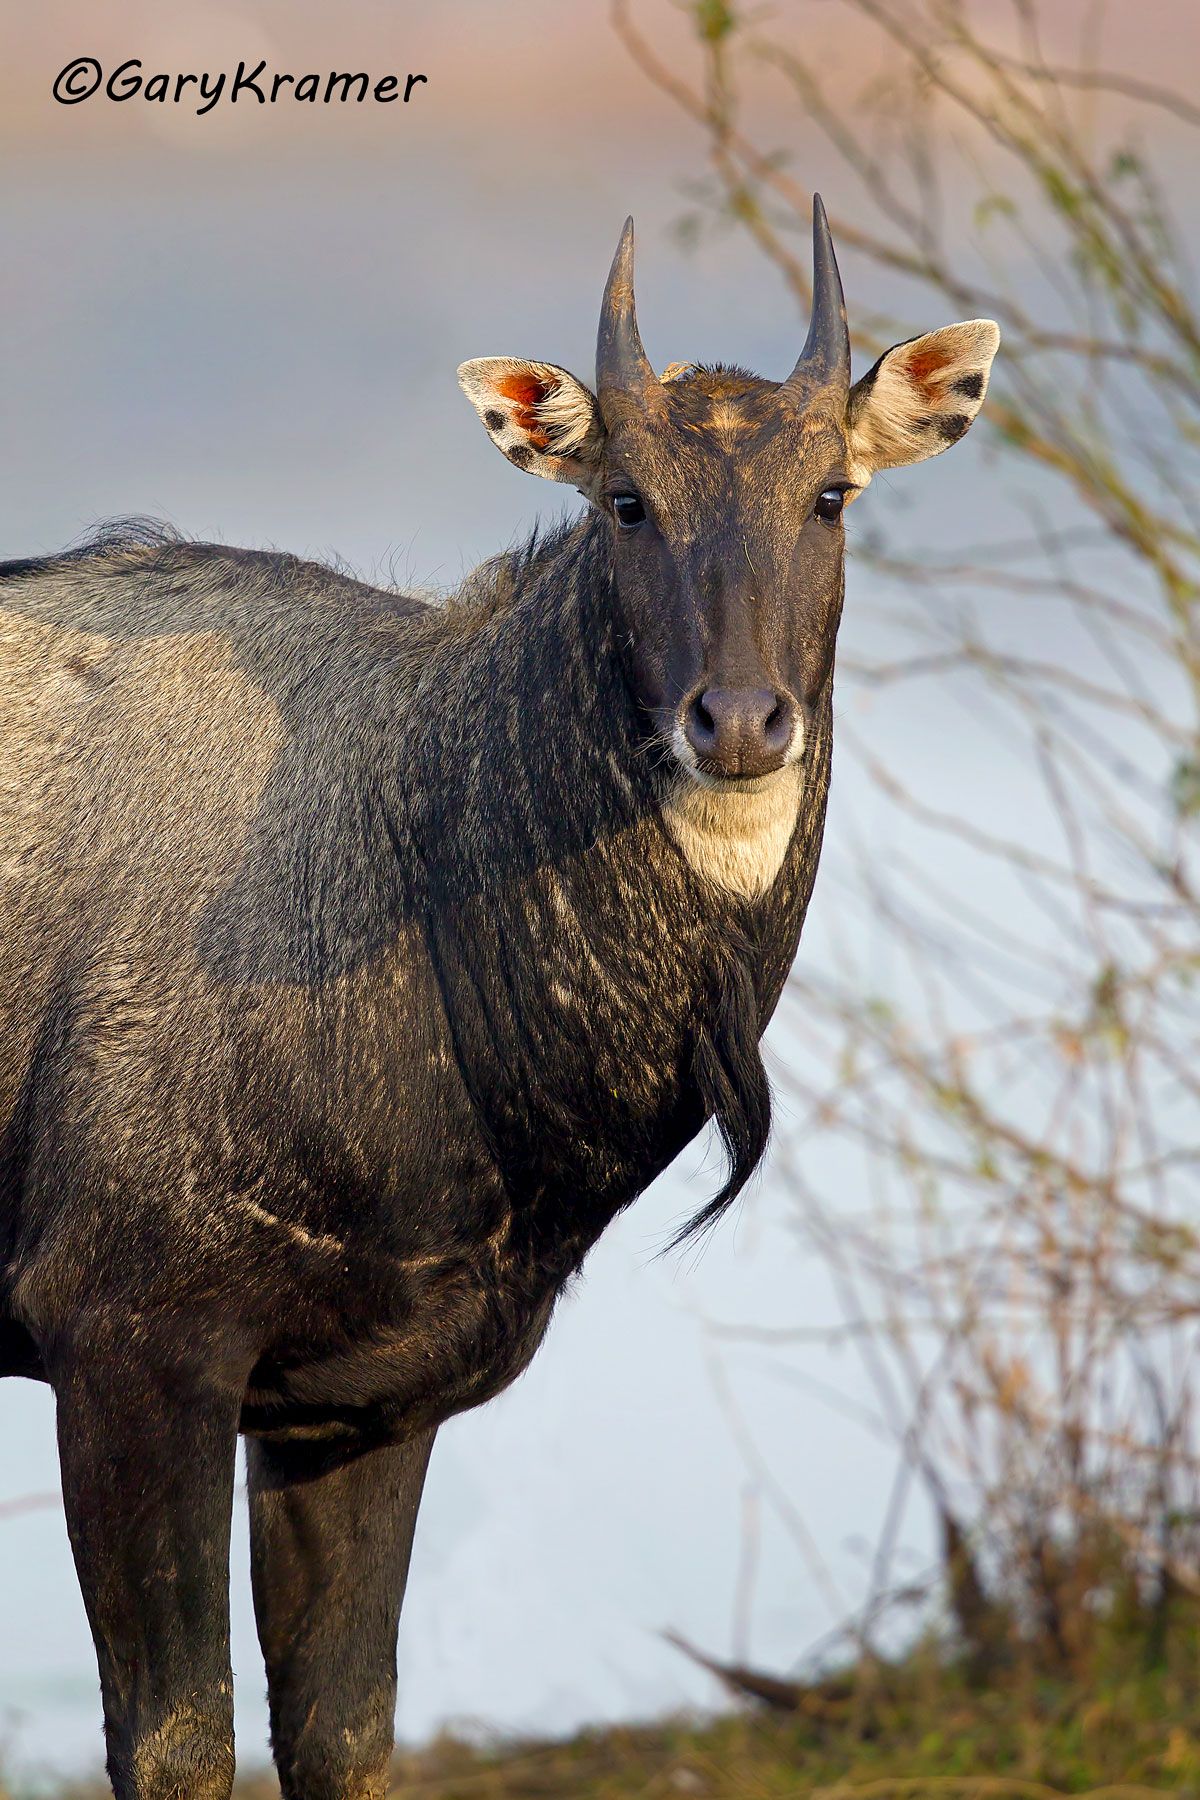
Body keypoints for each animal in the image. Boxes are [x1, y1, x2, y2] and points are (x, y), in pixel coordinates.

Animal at [0, 199, 998, 1800]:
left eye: (833, 494)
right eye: (627, 501)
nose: (737, 722)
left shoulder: (357, 1397)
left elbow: (344, 1733)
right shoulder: (123, 1339)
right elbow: (176, 1741)